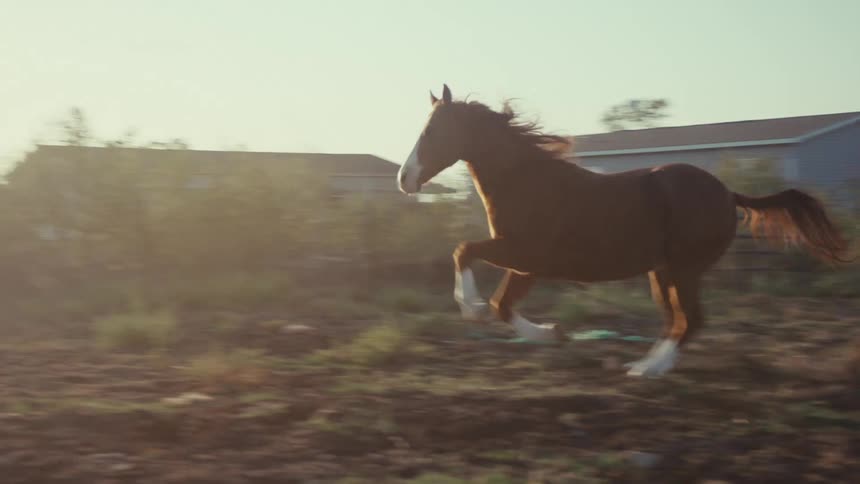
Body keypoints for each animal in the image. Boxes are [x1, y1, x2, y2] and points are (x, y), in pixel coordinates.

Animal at [397, 84, 851, 377]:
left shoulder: (523, 253)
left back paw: (648, 370)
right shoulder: (527, 266)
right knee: (677, 320)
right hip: (662, 272)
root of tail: (727, 193)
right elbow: (501, 304)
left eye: (431, 131)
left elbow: (465, 253)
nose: (404, 179)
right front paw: (551, 335)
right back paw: (646, 364)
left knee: (691, 320)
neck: (527, 181)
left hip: (682, 269)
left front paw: (470, 307)